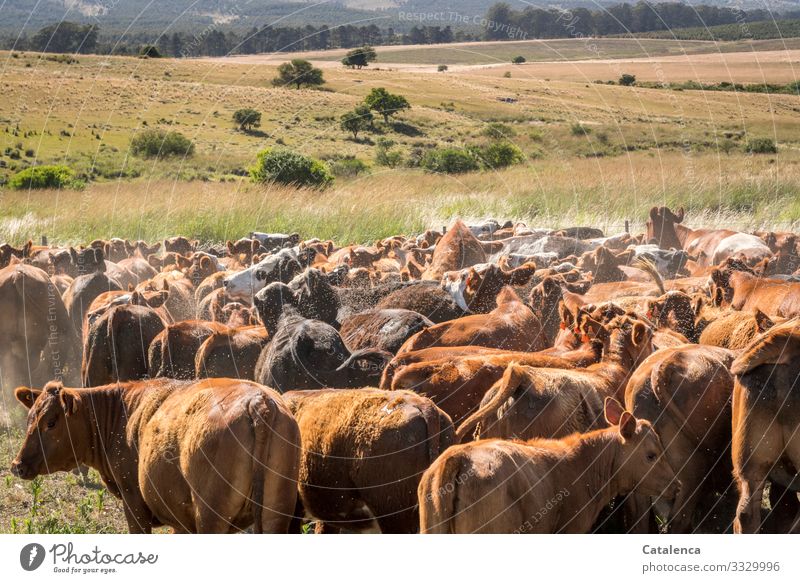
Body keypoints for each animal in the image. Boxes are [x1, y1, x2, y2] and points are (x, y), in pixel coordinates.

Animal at [11, 378, 300, 532]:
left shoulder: (133, 502)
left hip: (212, 518)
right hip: (276, 515)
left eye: (51, 422)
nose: (17, 465)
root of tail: (258, 402)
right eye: (30, 418)